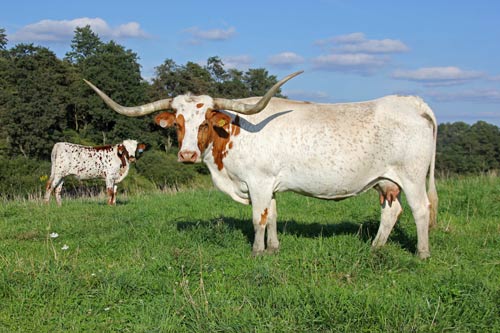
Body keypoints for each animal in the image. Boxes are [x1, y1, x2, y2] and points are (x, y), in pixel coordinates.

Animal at [85, 71, 438, 258]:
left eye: (205, 122)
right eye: (178, 124)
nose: (186, 155)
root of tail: (413, 102)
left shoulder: (258, 182)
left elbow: (258, 218)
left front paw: (257, 251)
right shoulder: (270, 185)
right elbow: (272, 216)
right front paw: (274, 248)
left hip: (411, 177)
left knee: (420, 210)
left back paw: (422, 253)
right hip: (385, 181)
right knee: (392, 211)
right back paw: (376, 247)